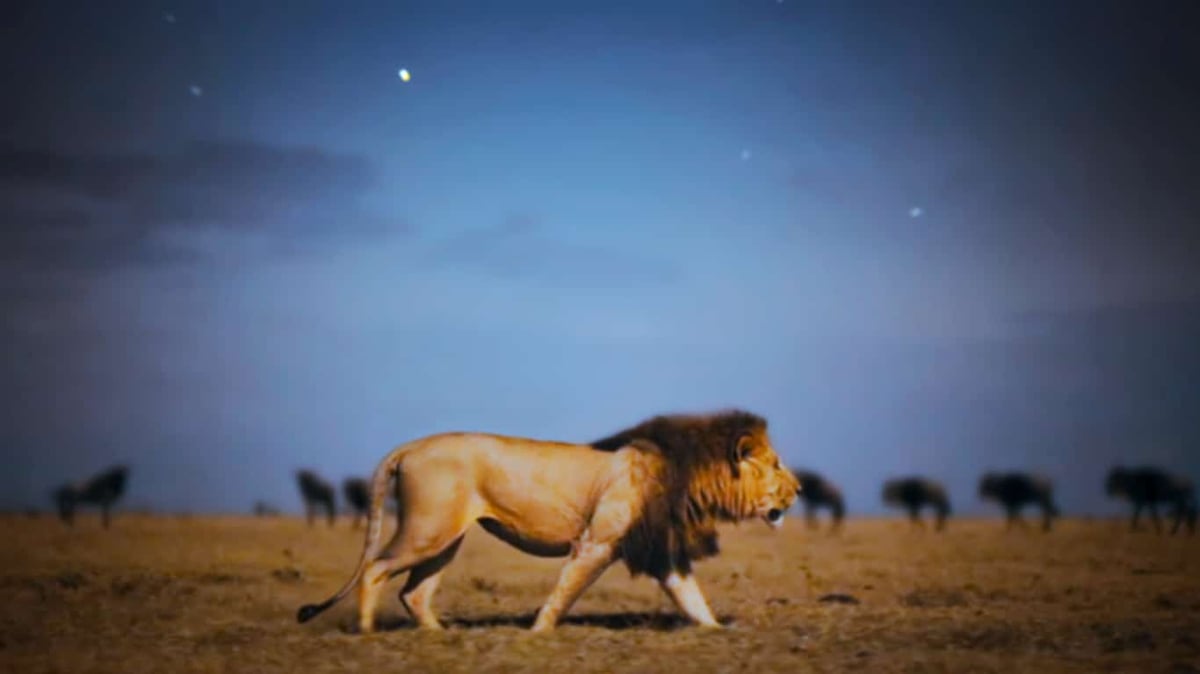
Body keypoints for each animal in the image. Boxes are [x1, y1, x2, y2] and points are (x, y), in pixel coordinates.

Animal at [294, 407, 796, 633]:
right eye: (774, 465)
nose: (798, 489)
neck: (688, 473)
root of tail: (409, 446)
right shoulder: (598, 542)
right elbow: (565, 591)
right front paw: (538, 634)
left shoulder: (662, 550)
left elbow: (692, 599)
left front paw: (718, 631)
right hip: (428, 529)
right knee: (376, 569)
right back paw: (366, 633)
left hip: (445, 537)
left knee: (414, 592)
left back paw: (439, 635)